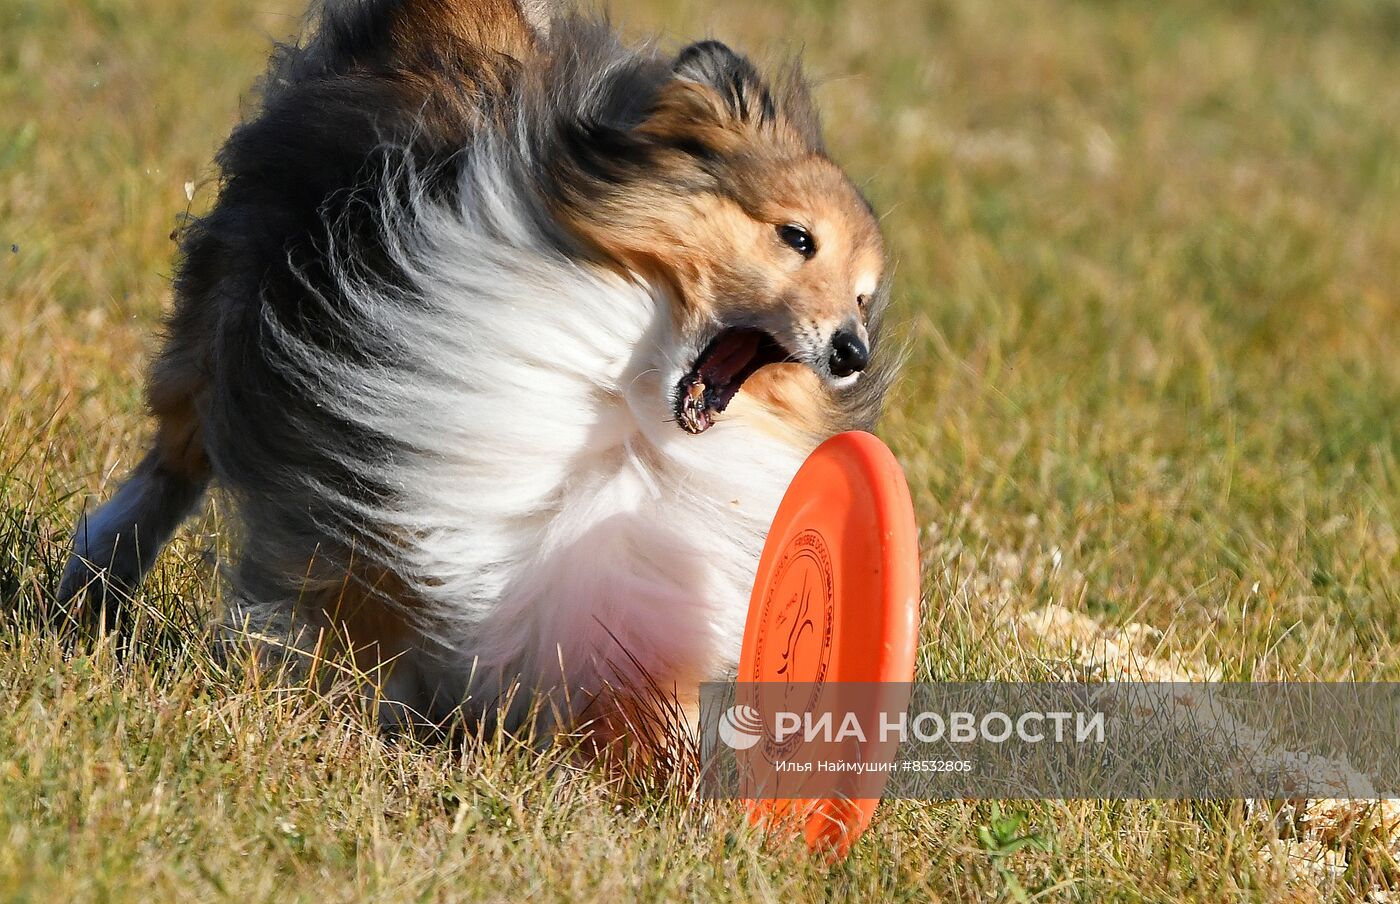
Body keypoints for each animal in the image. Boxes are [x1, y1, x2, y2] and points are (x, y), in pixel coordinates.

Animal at [60, 0, 890, 738]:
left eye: (864, 295)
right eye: (797, 237)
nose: (852, 352)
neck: (625, 394)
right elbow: (364, 589)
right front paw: (351, 698)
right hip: (222, 317)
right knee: (172, 462)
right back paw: (93, 580)